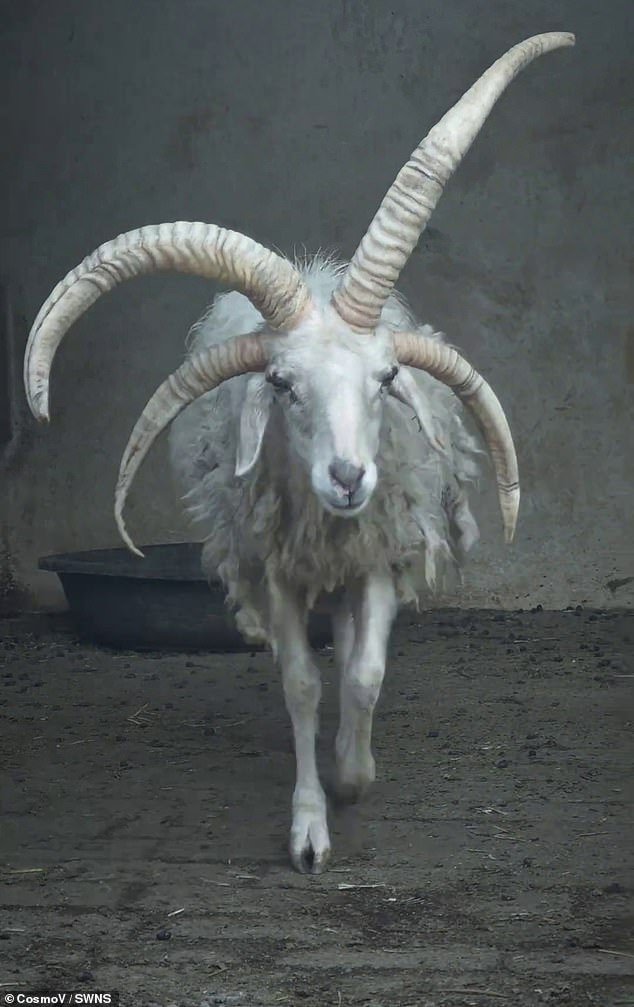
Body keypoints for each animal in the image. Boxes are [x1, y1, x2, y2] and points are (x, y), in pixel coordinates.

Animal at [24, 33, 574, 873]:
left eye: (386, 378)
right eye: (281, 382)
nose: (348, 478)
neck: (330, 523)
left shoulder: (380, 552)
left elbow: (366, 674)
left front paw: (354, 775)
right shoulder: (276, 568)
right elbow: (302, 685)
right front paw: (311, 826)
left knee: (352, 653)